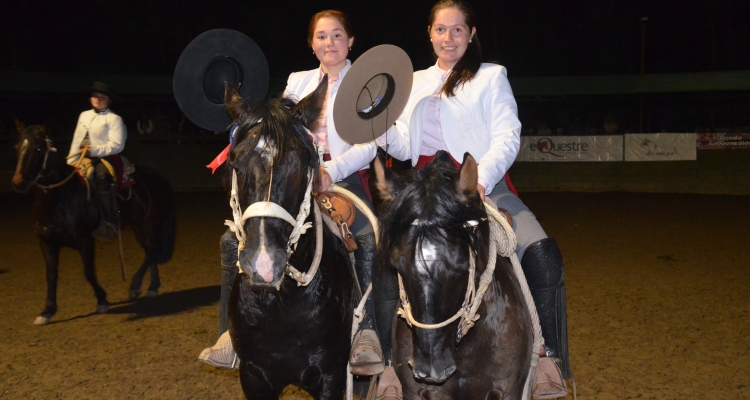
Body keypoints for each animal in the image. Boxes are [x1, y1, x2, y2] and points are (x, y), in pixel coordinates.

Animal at [11, 121, 176, 324]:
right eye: (17, 146)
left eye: (38, 148)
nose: (18, 183)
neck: (60, 198)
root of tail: (160, 178)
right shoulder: (47, 243)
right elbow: (51, 276)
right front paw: (47, 311)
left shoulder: (85, 241)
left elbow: (88, 273)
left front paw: (102, 300)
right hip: (138, 225)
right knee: (150, 251)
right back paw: (152, 287)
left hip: (149, 223)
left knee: (153, 251)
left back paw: (136, 286)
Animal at [223, 79, 358, 398]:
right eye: (235, 161)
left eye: (301, 162)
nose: (263, 264)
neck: (281, 304)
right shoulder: (254, 376)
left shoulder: (332, 376)